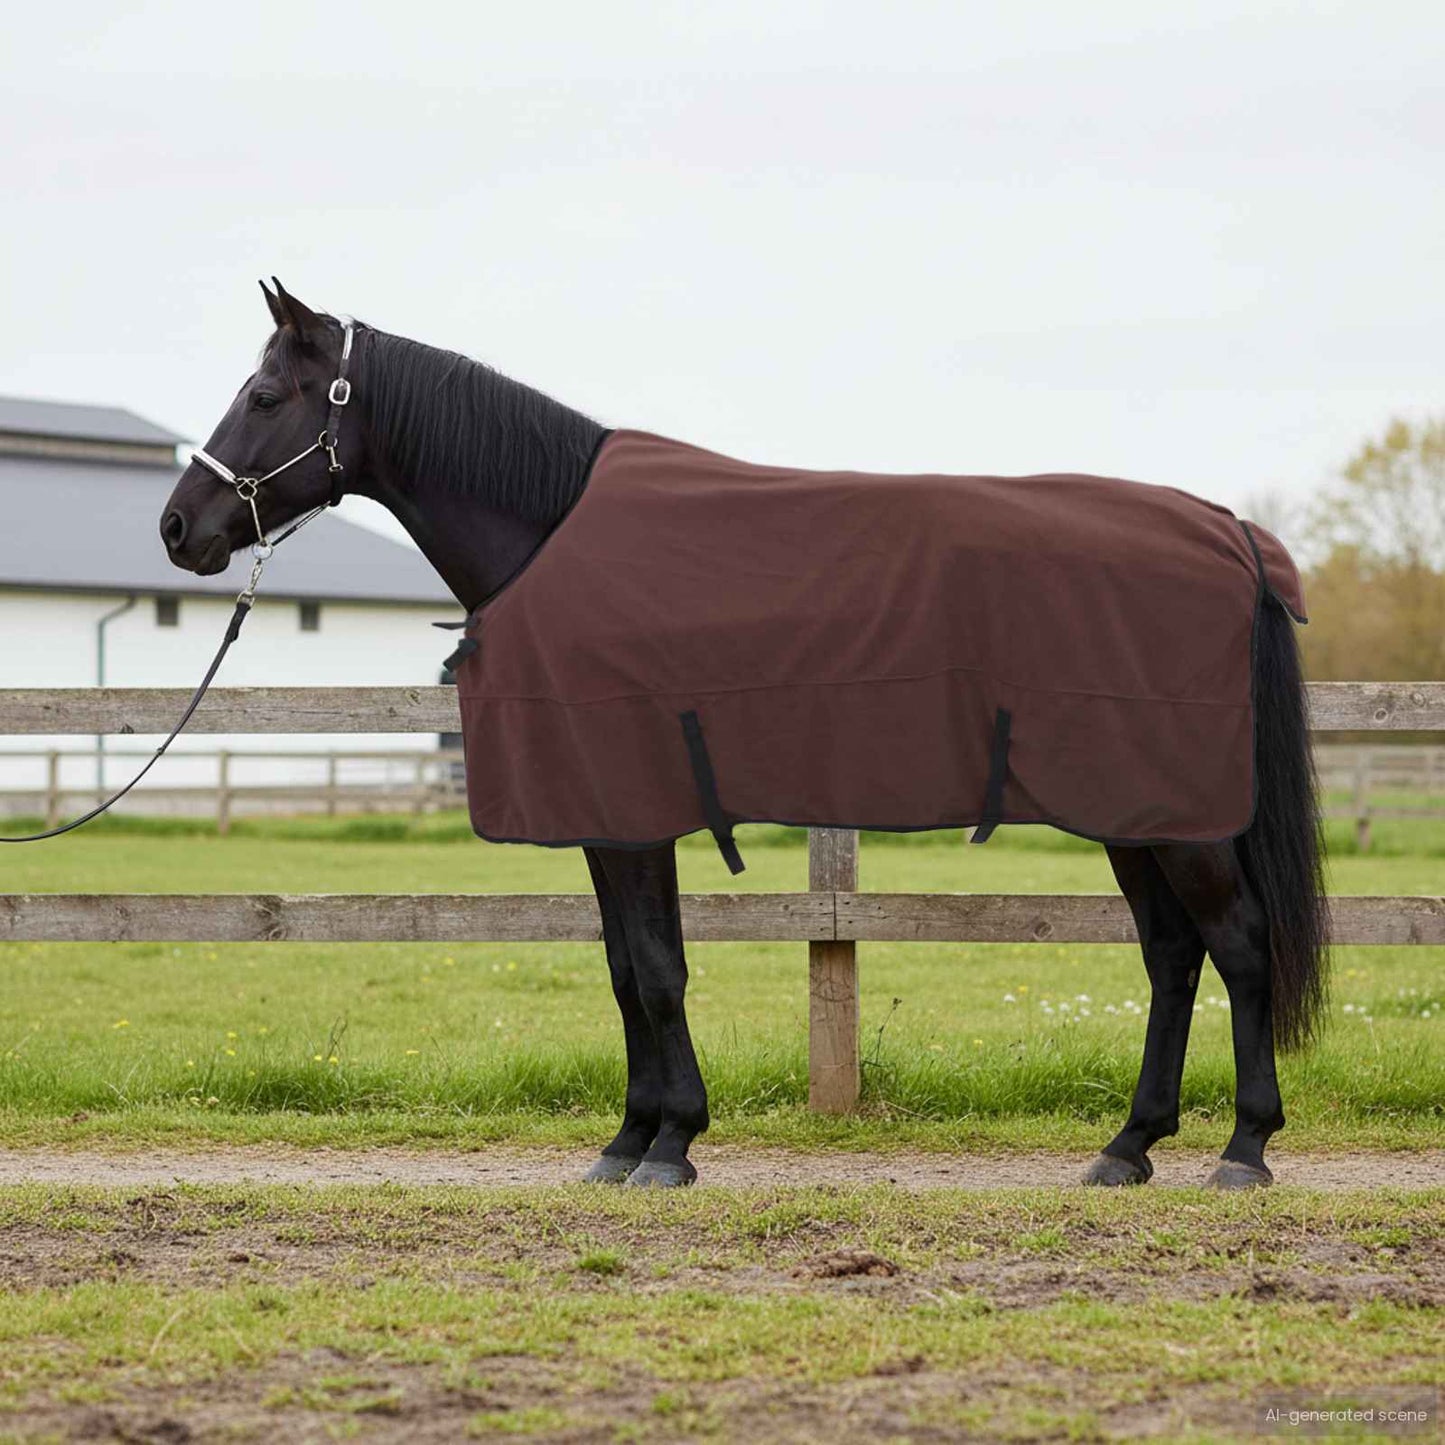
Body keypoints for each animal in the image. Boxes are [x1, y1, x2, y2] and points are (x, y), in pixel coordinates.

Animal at [159, 279, 1328, 1190]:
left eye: (264, 395)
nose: (179, 528)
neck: (553, 533)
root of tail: (1225, 530)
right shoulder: (606, 817)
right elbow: (627, 967)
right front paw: (630, 1138)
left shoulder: (631, 812)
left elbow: (656, 969)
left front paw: (669, 1143)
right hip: (1133, 811)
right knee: (1171, 953)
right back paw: (1127, 1146)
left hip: (1176, 817)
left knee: (1236, 943)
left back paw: (1243, 1148)